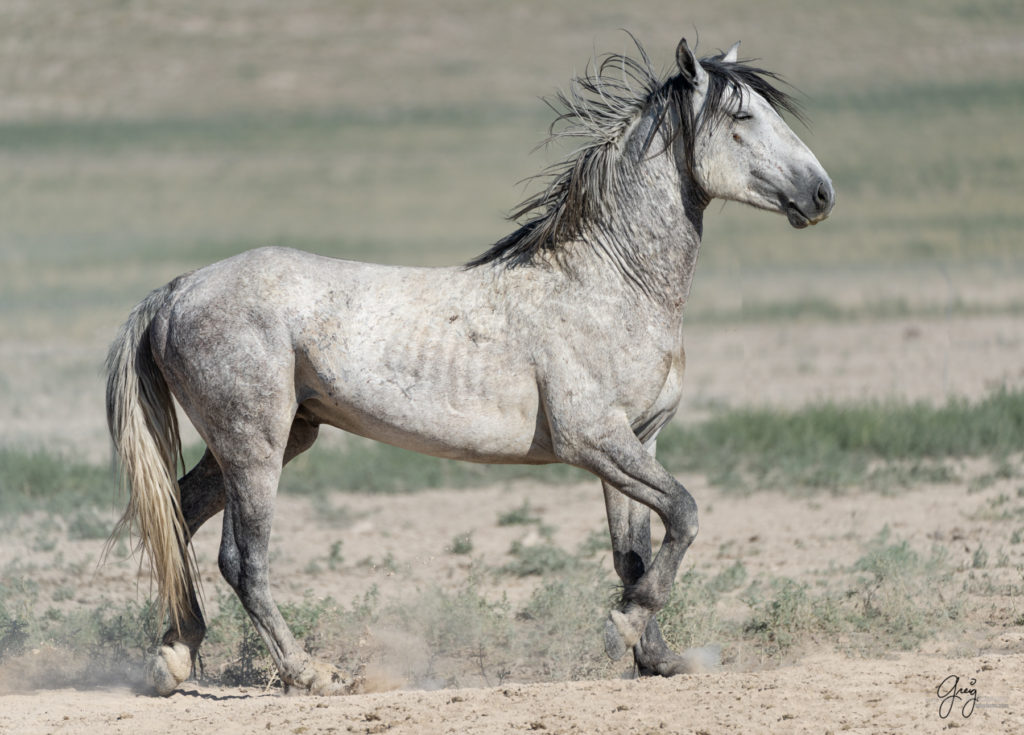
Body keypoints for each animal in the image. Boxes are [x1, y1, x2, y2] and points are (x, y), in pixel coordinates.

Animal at [105, 36, 831, 696]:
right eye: (742, 117)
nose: (821, 194)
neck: (611, 280)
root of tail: (175, 291)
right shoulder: (594, 439)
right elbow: (685, 512)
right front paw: (623, 627)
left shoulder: (639, 440)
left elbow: (635, 550)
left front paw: (656, 657)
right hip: (254, 445)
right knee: (240, 559)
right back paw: (310, 672)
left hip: (276, 439)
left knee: (177, 514)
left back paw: (174, 656)